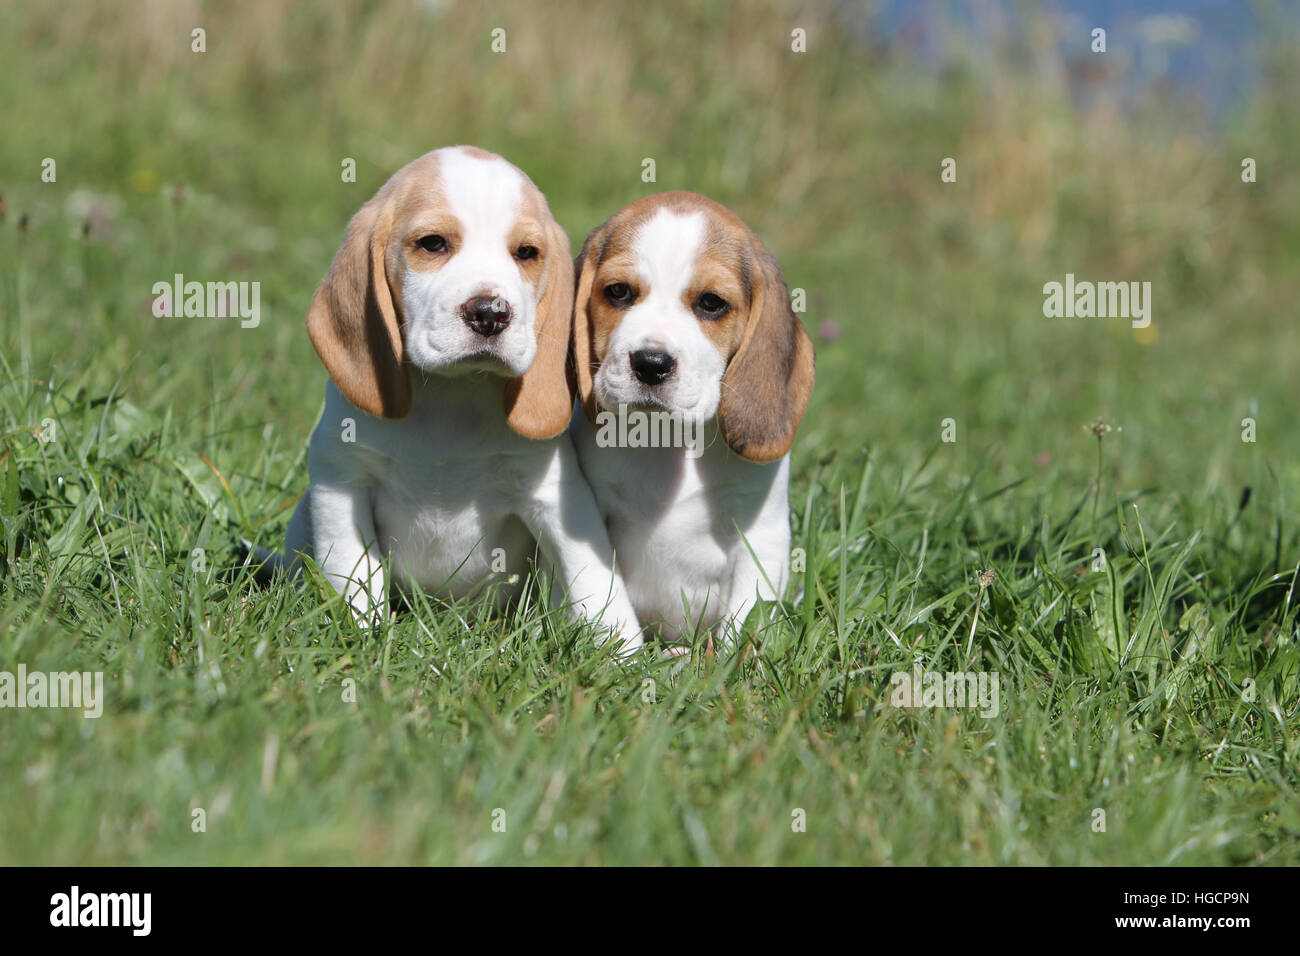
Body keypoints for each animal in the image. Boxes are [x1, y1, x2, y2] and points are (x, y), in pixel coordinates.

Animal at [254, 145, 639, 655]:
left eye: (526, 253)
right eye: (433, 244)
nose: (491, 313)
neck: (453, 397)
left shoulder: (557, 497)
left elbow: (592, 576)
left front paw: (624, 655)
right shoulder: (341, 482)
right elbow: (354, 574)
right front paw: (362, 640)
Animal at [569, 187, 811, 650]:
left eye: (711, 303)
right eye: (619, 292)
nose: (651, 364)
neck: (667, 439)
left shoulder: (762, 538)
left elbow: (744, 622)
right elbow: (609, 602)